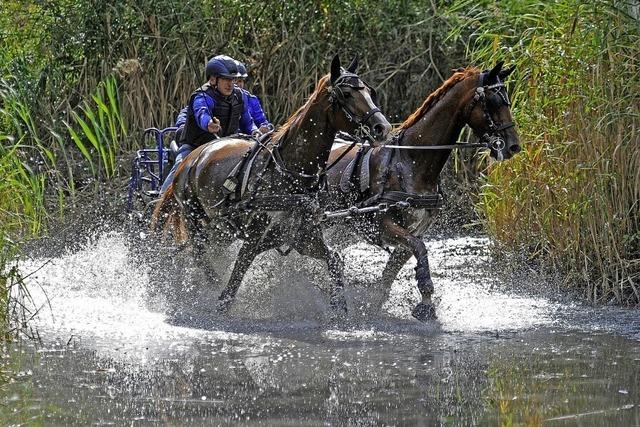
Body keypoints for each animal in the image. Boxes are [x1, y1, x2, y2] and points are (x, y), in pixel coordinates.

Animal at [151, 54, 390, 318]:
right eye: (346, 94)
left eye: (369, 91)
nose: (383, 128)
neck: (293, 172)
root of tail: (189, 160)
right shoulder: (255, 233)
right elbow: (238, 271)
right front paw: (221, 303)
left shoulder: (302, 236)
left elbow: (335, 260)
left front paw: (340, 308)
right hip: (196, 221)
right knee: (198, 253)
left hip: (222, 231)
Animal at [322, 60, 524, 320]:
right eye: (494, 102)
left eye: (506, 100)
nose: (513, 145)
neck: (410, 161)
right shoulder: (385, 224)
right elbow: (420, 250)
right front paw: (426, 303)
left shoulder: (416, 230)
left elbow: (392, 272)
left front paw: (382, 305)